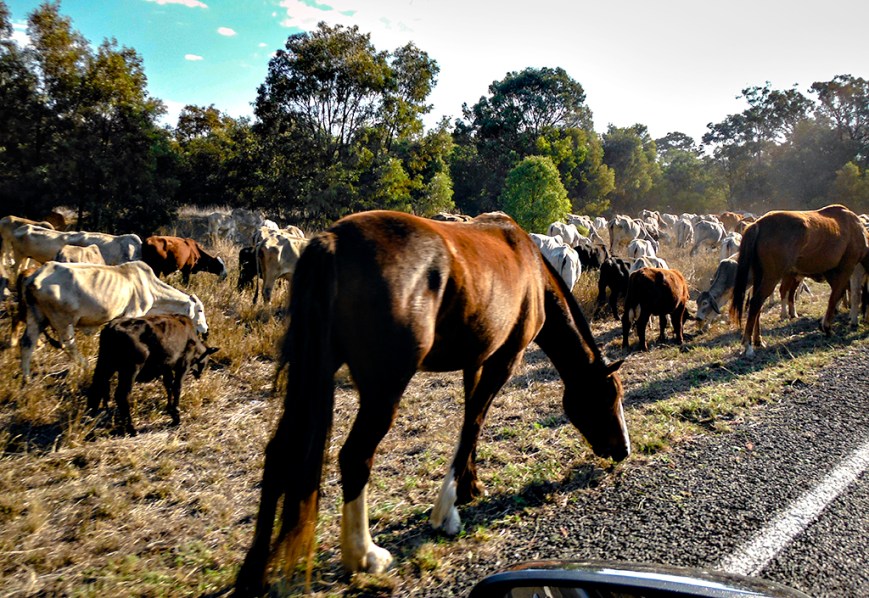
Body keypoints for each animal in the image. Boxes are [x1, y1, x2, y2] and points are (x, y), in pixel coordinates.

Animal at [19, 261, 209, 382]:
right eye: (200, 309)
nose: (205, 328)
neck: (152, 290)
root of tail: (34, 278)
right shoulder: (133, 314)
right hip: (64, 321)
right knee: (68, 345)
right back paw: (86, 367)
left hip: (36, 317)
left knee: (27, 343)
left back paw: (27, 379)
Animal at [88, 314, 219, 436]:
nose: (200, 374)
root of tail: (112, 327)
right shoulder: (183, 365)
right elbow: (177, 388)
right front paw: (176, 416)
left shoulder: (166, 368)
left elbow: (168, 387)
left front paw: (170, 410)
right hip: (131, 369)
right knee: (121, 395)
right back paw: (131, 428)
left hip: (104, 364)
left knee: (96, 390)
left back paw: (90, 424)